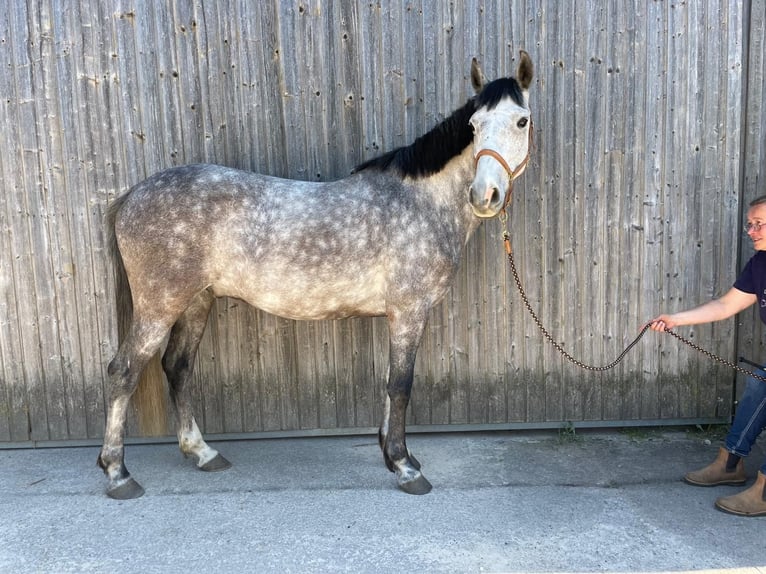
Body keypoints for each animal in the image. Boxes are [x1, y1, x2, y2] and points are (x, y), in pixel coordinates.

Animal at [97, 53, 536, 500]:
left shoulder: (399, 316)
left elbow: (389, 383)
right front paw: (404, 466)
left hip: (195, 302)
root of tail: (132, 195)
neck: (420, 201)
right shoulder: (409, 311)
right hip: (159, 304)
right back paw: (118, 474)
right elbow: (401, 385)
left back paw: (203, 453)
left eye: (522, 121)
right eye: (474, 126)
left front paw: (394, 454)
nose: (485, 195)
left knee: (177, 368)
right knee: (123, 372)